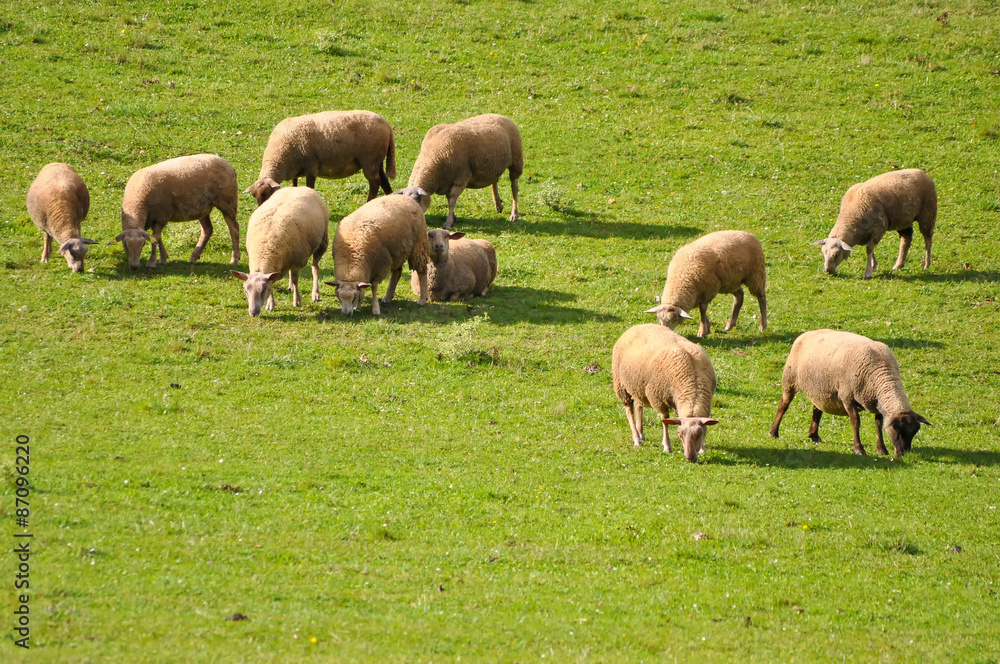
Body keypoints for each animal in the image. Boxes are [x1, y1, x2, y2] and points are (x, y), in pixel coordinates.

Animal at [231, 186, 329, 317]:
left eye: (263, 290)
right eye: (245, 290)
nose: (253, 313)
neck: (264, 251)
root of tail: (299, 187)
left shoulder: (298, 261)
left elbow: (296, 280)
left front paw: (297, 301)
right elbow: (274, 282)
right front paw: (270, 304)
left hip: (322, 242)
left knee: (315, 268)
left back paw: (315, 293)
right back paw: (290, 286)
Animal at [246, 110, 396, 206]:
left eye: (267, 194)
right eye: (254, 196)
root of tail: (387, 125)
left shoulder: (311, 167)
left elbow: (309, 186)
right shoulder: (295, 169)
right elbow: (294, 185)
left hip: (370, 159)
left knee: (375, 182)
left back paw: (369, 202)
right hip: (377, 160)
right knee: (384, 180)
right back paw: (390, 196)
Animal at [325, 186, 431, 317]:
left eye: (353, 297)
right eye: (338, 296)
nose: (346, 314)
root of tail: (408, 198)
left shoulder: (381, 266)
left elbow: (374, 287)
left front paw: (375, 309)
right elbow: (364, 287)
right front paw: (357, 306)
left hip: (418, 246)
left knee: (422, 271)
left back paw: (422, 299)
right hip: (397, 251)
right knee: (397, 272)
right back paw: (388, 297)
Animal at [612, 323, 719, 462]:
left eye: (700, 433)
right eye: (679, 433)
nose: (689, 458)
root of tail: (637, 325)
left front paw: (702, 449)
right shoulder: (658, 398)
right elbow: (665, 421)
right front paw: (667, 446)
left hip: (638, 386)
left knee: (639, 406)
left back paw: (641, 435)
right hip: (621, 385)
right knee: (629, 410)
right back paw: (636, 439)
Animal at [770, 329, 930, 457]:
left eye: (914, 432)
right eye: (898, 432)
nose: (903, 454)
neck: (882, 376)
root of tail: (806, 333)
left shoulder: (875, 402)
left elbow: (878, 424)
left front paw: (882, 450)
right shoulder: (847, 397)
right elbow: (856, 422)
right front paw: (859, 449)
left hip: (820, 388)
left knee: (817, 409)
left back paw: (813, 435)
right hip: (790, 379)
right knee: (783, 405)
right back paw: (773, 432)